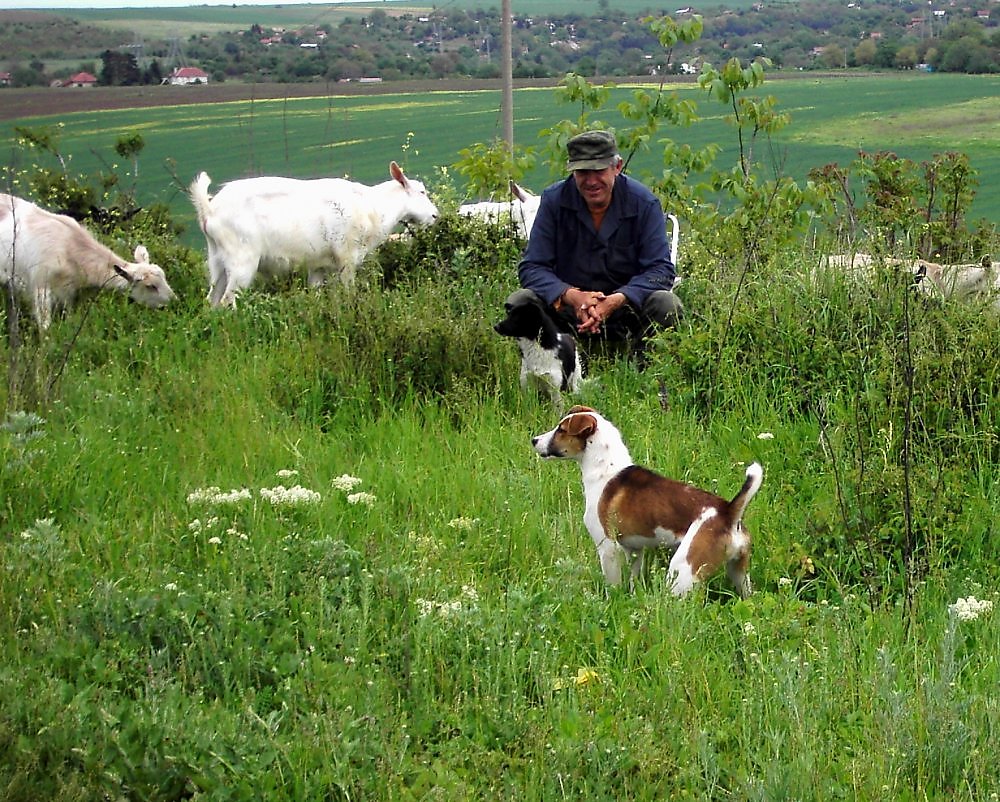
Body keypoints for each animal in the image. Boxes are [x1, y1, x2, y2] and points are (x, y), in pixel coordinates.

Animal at [188, 161, 438, 308]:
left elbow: (316, 294)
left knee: (212, 300)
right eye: (422, 192)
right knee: (227, 301)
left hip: (217, 260)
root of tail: (209, 210)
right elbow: (348, 291)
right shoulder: (347, 257)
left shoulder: (319, 265)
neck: (374, 207)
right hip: (242, 259)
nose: (435, 215)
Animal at [536, 406, 760, 592]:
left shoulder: (607, 548)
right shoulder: (635, 550)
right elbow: (634, 580)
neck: (606, 469)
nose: (534, 440)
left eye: (561, 430)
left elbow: (612, 586)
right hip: (740, 575)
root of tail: (728, 513)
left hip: (682, 572)